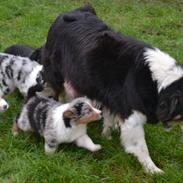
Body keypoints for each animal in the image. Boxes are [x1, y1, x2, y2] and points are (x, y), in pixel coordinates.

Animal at [41, 4, 183, 173]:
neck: (158, 82)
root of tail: (73, 11)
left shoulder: (112, 98)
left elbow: (110, 118)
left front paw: (107, 135)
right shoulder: (132, 115)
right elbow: (141, 147)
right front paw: (152, 169)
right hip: (56, 74)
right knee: (58, 94)